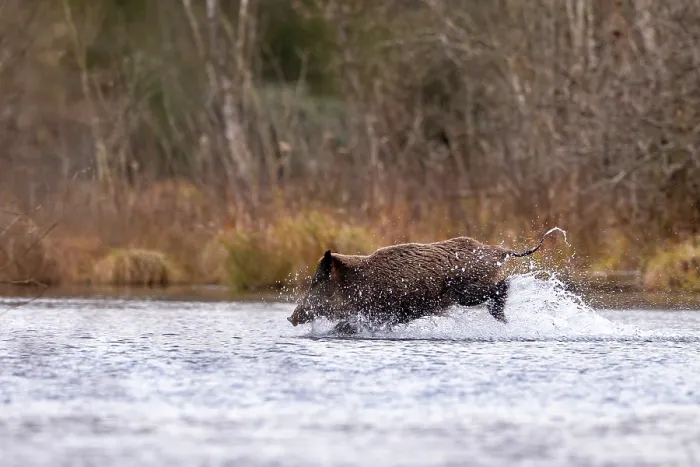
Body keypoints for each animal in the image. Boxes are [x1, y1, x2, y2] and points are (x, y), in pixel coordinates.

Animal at [287, 228, 564, 333]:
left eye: (316, 282)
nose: (290, 318)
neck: (360, 283)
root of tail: (498, 251)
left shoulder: (382, 312)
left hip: (469, 291)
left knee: (503, 287)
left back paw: (502, 320)